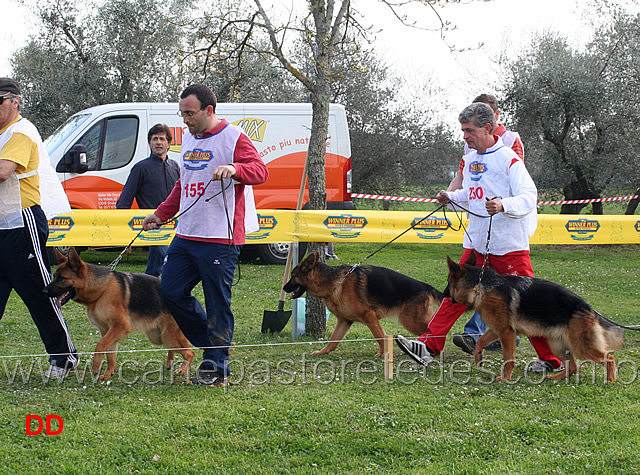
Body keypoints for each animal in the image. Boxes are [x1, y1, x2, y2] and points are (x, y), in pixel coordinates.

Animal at [44, 249, 194, 380]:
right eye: (54, 277)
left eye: (62, 278)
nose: (43, 291)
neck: (101, 290)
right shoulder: (107, 331)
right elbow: (110, 354)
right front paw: (108, 374)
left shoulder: (119, 327)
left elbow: (99, 346)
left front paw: (96, 366)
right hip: (159, 336)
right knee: (176, 348)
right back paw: (171, 362)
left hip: (169, 336)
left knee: (190, 352)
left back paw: (183, 369)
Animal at [282, 253, 442, 356]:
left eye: (293, 276)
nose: (284, 288)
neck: (335, 282)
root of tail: (426, 286)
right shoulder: (345, 321)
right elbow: (333, 340)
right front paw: (323, 352)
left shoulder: (369, 316)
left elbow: (380, 336)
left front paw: (383, 354)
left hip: (410, 321)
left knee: (434, 331)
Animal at [448, 253, 624, 384]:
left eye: (449, 282)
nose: (446, 296)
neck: (480, 287)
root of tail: (588, 308)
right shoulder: (497, 329)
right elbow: (480, 341)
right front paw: (478, 357)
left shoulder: (506, 333)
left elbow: (508, 358)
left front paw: (505, 378)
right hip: (557, 346)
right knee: (573, 368)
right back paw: (555, 377)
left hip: (581, 346)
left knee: (610, 358)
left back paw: (610, 380)